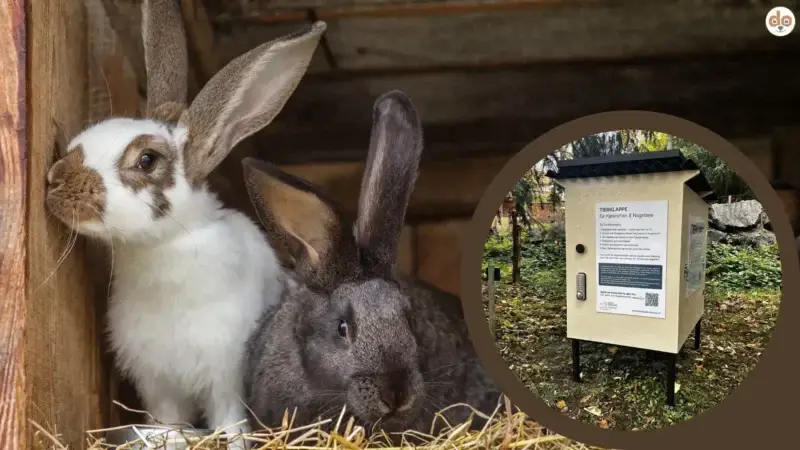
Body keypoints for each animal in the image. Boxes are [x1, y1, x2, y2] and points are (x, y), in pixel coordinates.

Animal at [43, 0, 327, 441]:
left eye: (147, 160)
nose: (56, 179)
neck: (163, 246)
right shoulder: (156, 381)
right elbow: (167, 423)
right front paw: (169, 439)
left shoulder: (225, 375)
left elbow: (229, 421)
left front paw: (233, 442)